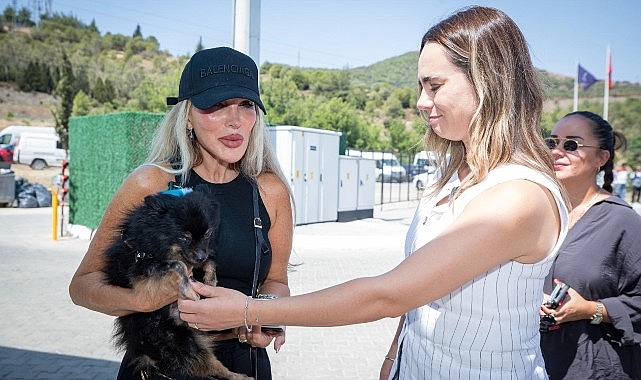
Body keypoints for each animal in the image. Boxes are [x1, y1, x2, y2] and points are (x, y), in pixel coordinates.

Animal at [104, 190, 251, 380]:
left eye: (207, 234)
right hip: (183, 342)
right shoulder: (143, 267)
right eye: (184, 237)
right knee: (208, 367)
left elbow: (210, 262)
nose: (200, 256)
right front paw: (189, 290)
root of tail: (147, 356)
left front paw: (210, 280)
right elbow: (178, 265)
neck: (154, 237)